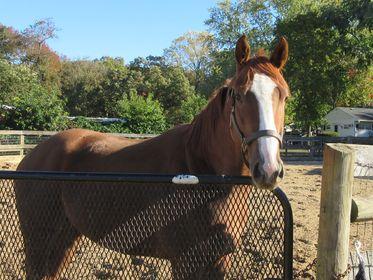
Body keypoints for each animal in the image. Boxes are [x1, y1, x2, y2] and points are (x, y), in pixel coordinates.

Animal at [14, 35, 290, 280]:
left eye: (284, 96)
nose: (268, 169)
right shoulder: (185, 262)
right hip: (38, 242)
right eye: (239, 94)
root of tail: (32, 157)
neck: (201, 170)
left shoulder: (219, 260)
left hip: (64, 239)